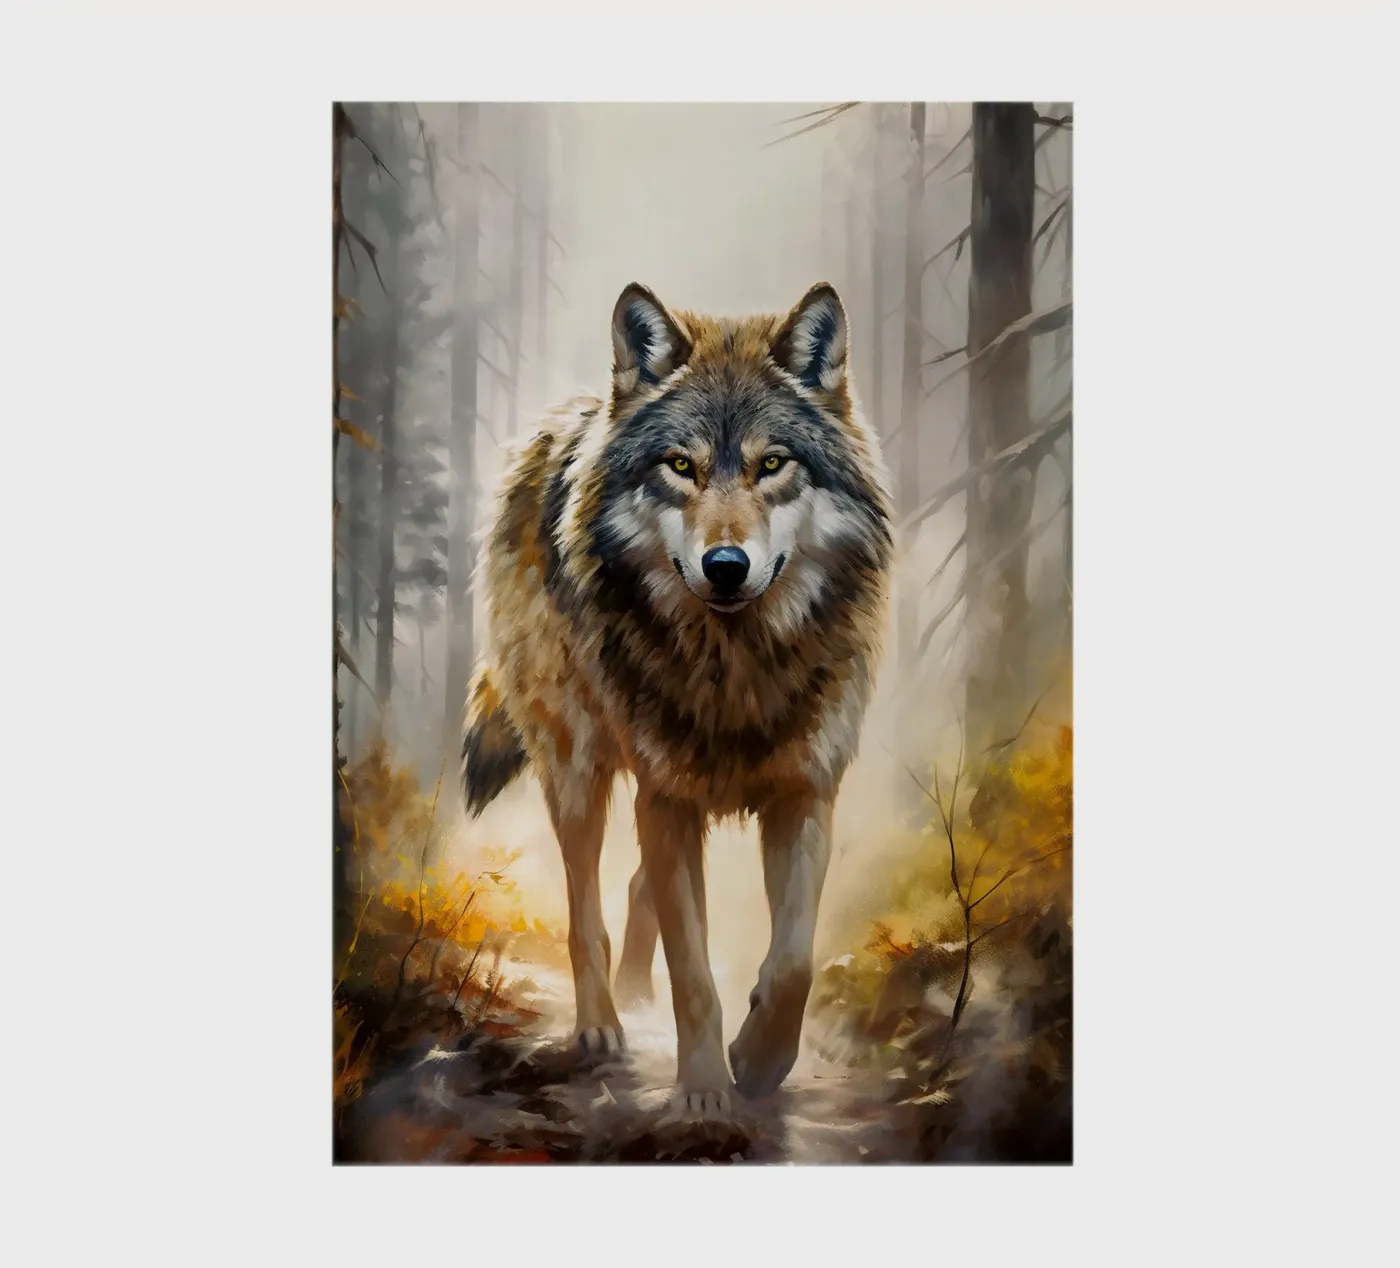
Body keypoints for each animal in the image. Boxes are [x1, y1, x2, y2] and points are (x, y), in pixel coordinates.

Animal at [460, 281, 892, 1119]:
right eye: (680, 466)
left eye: (772, 464)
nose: (725, 565)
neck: (736, 669)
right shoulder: (666, 797)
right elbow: (692, 972)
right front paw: (704, 1093)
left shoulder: (804, 793)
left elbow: (794, 963)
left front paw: (757, 1060)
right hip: (578, 769)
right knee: (586, 910)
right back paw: (602, 1024)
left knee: (637, 890)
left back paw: (636, 992)